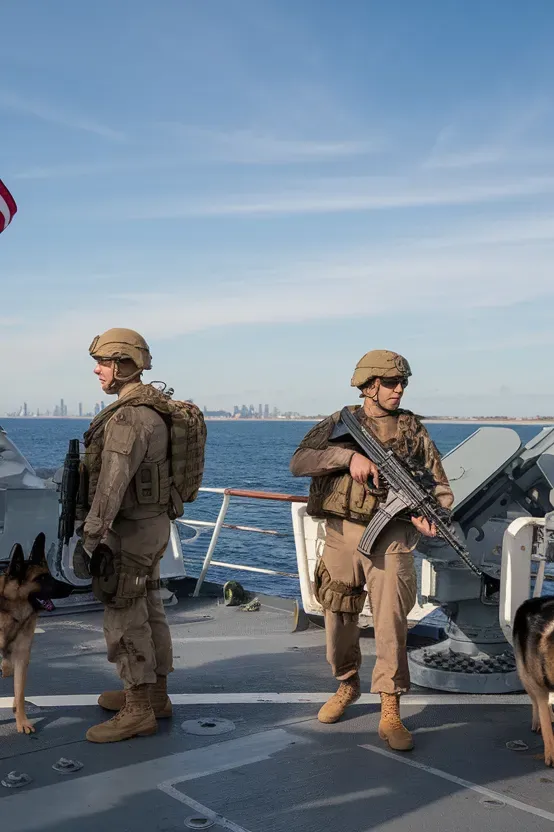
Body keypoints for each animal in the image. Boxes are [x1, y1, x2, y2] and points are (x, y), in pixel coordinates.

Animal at [0, 532, 70, 736]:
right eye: (42, 578)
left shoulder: (22, 656)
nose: (71, 588)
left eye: (50, 575)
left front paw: (21, 721)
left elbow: (20, 692)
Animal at [512, 600, 554, 768]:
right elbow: (547, 727)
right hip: (525, 676)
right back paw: (537, 723)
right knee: (535, 704)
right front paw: (551, 756)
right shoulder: (540, 690)